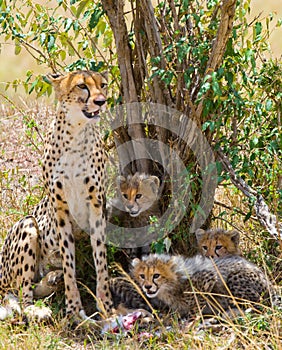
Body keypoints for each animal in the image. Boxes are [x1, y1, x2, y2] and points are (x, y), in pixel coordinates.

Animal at [1, 69, 113, 322]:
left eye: (102, 85)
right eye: (82, 86)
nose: (101, 101)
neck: (77, 133)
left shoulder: (97, 205)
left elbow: (101, 259)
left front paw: (106, 306)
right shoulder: (60, 207)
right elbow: (68, 260)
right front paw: (73, 309)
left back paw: (52, 280)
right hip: (27, 224)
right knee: (19, 293)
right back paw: (36, 307)